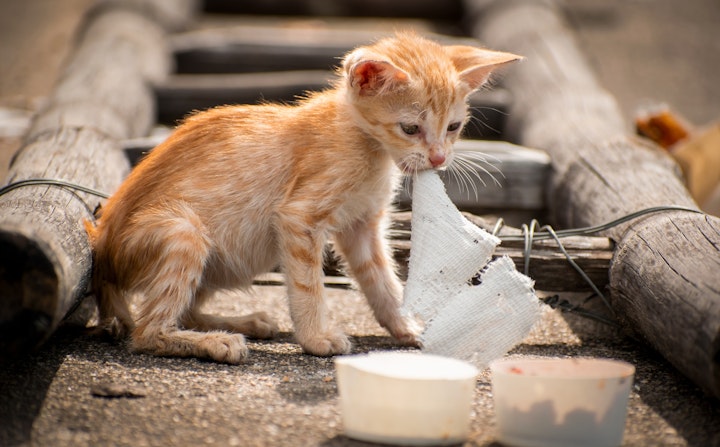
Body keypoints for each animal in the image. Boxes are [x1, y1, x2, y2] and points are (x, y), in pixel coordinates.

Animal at [87, 33, 520, 366]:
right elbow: (308, 286)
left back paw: (243, 323)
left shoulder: (362, 226)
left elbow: (382, 281)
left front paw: (405, 327)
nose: (439, 159)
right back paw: (216, 342)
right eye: (410, 128)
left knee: (188, 309)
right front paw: (316, 338)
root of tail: (103, 249)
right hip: (185, 231)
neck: (366, 144)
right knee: (147, 331)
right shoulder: (299, 218)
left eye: (454, 127)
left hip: (223, 256)